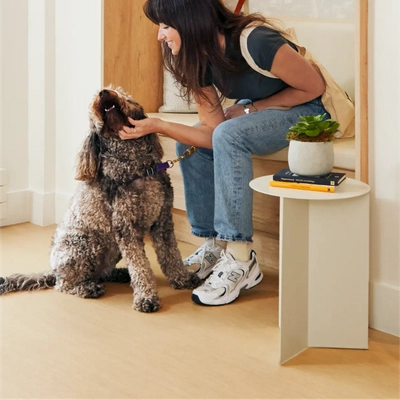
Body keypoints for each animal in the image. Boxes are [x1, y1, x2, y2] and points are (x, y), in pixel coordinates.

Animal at [0, 86, 200, 312]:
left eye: (122, 93)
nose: (104, 92)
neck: (136, 167)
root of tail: (53, 270)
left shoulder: (163, 220)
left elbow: (171, 255)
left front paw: (182, 279)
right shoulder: (125, 227)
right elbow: (140, 266)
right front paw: (146, 297)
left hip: (111, 250)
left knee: (101, 272)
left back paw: (119, 274)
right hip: (86, 244)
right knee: (65, 285)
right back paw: (87, 288)